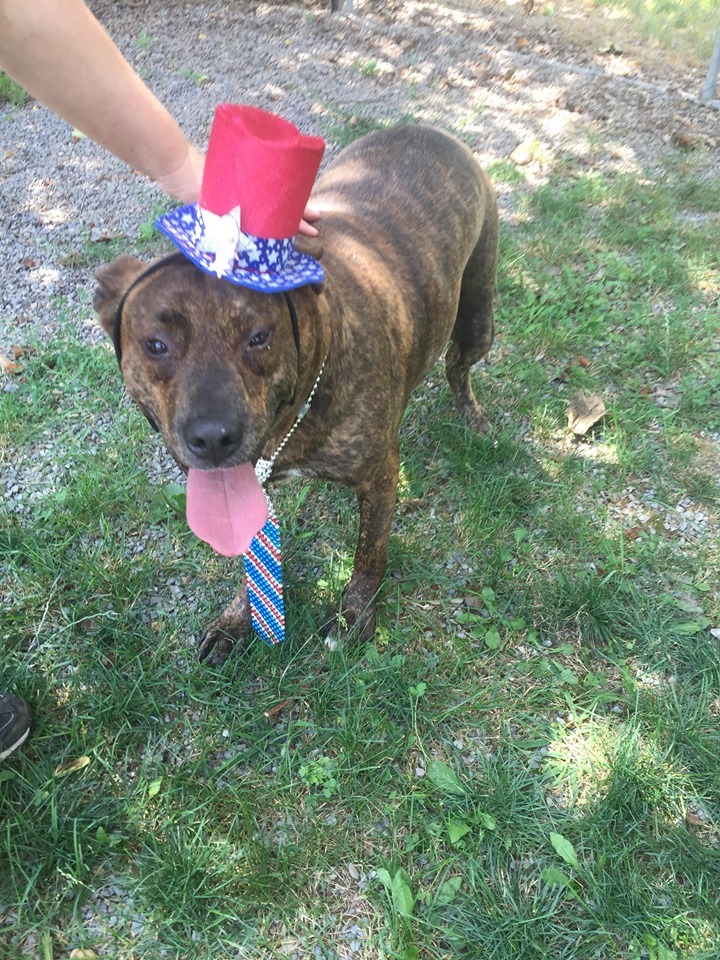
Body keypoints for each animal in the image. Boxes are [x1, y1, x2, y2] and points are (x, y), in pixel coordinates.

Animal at [94, 124, 500, 664]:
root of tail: (428, 130)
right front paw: (238, 618)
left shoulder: (379, 475)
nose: (212, 438)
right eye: (155, 345)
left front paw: (355, 615)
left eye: (259, 337)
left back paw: (473, 417)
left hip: (478, 315)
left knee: (459, 366)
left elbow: (370, 553)